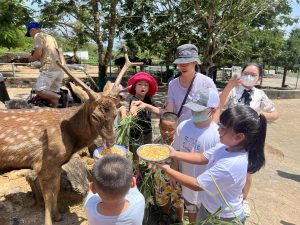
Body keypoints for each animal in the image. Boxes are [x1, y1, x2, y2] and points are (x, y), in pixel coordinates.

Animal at [0, 47, 143, 225]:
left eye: (116, 113)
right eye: (95, 116)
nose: (111, 141)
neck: (70, 140)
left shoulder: (56, 164)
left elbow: (56, 190)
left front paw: (58, 215)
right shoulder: (44, 162)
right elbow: (48, 197)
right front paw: (50, 220)